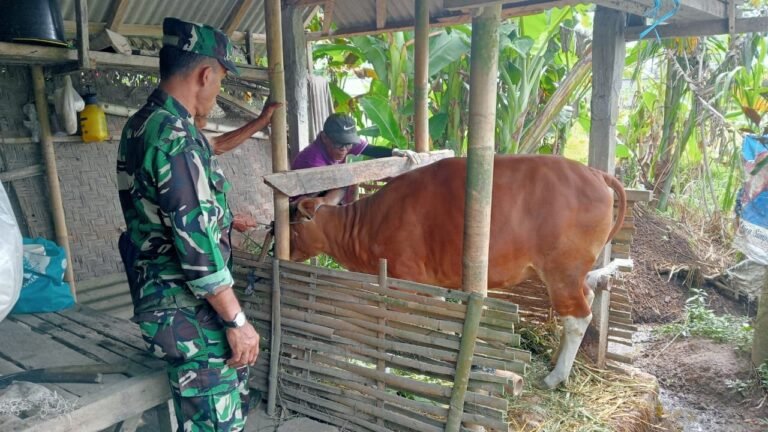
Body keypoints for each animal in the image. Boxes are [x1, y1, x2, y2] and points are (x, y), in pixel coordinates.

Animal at [288, 154, 624, 388]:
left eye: (291, 226)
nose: (281, 247)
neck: (368, 222)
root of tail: (596, 173)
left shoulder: (407, 278)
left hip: (561, 271)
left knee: (578, 316)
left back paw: (555, 377)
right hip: (569, 274)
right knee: (586, 297)